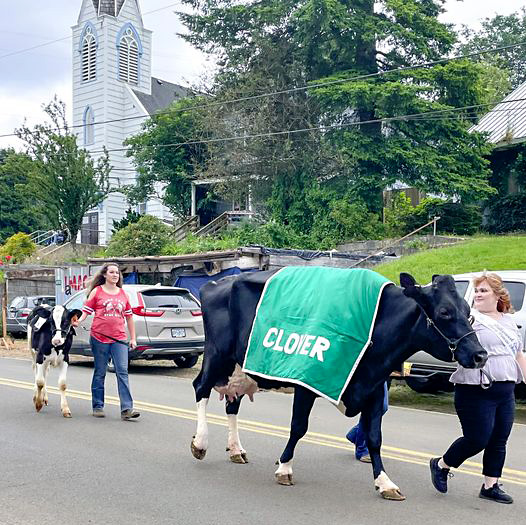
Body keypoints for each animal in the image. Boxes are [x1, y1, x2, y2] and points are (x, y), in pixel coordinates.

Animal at [191, 270, 490, 500]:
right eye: (444, 312)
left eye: (469, 312)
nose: (480, 355)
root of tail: (217, 283)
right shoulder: (306, 381)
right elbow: (298, 427)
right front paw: (284, 468)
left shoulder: (373, 388)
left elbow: (375, 438)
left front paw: (385, 483)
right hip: (217, 354)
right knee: (200, 388)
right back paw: (200, 443)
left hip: (242, 367)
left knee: (233, 403)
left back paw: (236, 449)